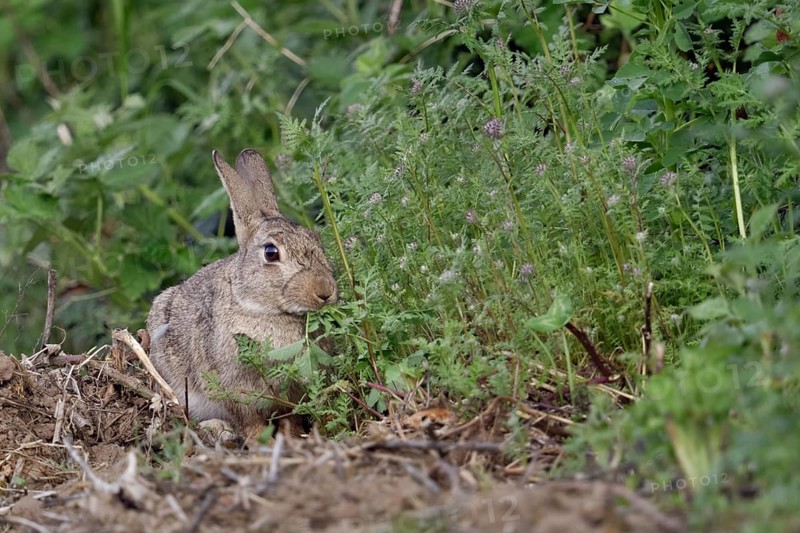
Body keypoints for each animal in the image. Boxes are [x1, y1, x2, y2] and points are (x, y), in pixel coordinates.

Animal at [146, 148, 338, 440]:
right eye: (271, 252)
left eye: (315, 239)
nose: (325, 292)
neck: (259, 308)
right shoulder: (234, 390)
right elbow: (250, 423)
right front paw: (261, 441)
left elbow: (290, 419)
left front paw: (291, 438)